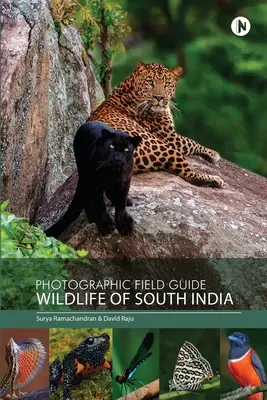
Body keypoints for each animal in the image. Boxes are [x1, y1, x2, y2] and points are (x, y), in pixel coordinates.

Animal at [89, 61, 225, 188]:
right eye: (150, 82)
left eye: (167, 84)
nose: (159, 97)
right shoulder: (170, 137)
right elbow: (191, 142)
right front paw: (213, 153)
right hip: (162, 147)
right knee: (187, 174)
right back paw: (215, 179)